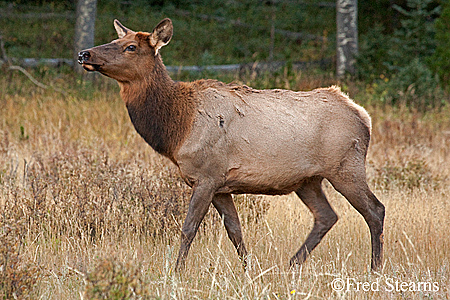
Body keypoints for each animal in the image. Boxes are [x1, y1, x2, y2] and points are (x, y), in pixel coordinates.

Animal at [78, 18, 386, 272]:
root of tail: (363, 116)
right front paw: (249, 270)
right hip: (308, 180)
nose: (84, 54)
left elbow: (188, 228)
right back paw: (291, 264)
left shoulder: (207, 176)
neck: (177, 129)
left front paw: (175, 272)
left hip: (345, 167)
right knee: (326, 216)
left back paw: (375, 268)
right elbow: (235, 231)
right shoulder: (221, 186)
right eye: (114, 39)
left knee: (375, 210)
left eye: (130, 47)